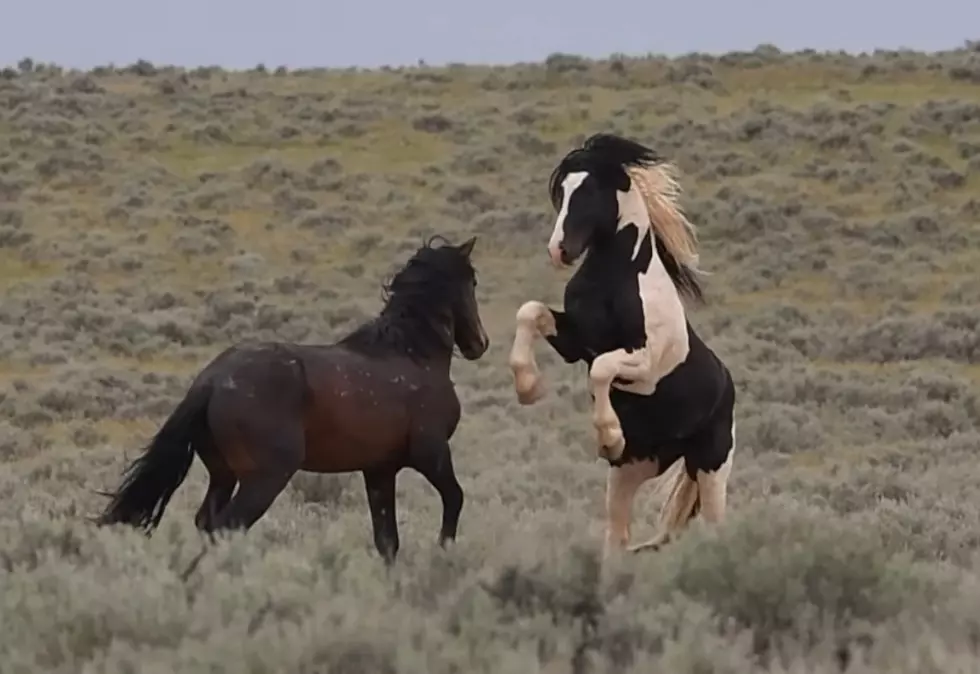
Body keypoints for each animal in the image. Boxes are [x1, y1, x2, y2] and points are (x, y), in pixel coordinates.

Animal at [93, 236, 490, 560]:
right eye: (472, 282)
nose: (479, 344)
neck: (411, 353)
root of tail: (212, 381)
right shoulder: (430, 452)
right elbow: (455, 498)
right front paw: (445, 552)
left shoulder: (379, 469)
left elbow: (387, 541)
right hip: (266, 477)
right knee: (226, 526)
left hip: (224, 475)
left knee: (207, 523)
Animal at [512, 131, 736, 556]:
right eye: (562, 191)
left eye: (591, 191)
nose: (559, 251)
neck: (618, 280)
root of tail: (728, 383)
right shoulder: (575, 342)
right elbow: (529, 312)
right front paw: (528, 386)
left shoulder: (643, 366)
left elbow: (602, 370)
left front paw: (610, 434)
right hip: (631, 472)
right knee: (618, 537)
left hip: (711, 467)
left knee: (717, 525)